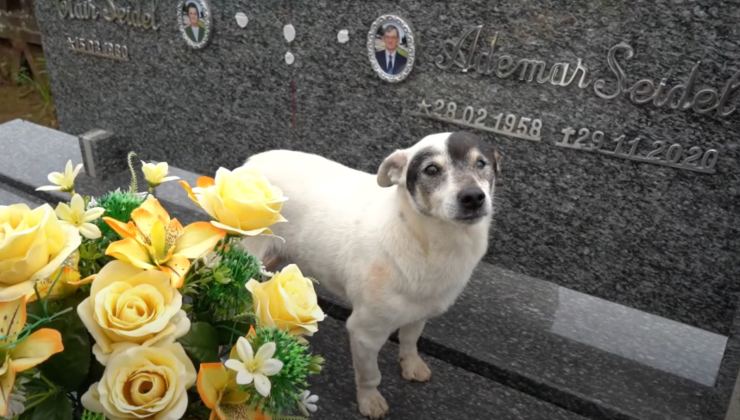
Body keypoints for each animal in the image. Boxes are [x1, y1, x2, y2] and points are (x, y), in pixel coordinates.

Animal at [246, 131, 500, 416]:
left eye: (481, 163)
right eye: (431, 169)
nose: (473, 197)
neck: (428, 242)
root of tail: (251, 162)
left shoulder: (420, 311)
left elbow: (410, 340)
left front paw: (411, 364)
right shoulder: (365, 332)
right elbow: (370, 375)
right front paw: (370, 400)